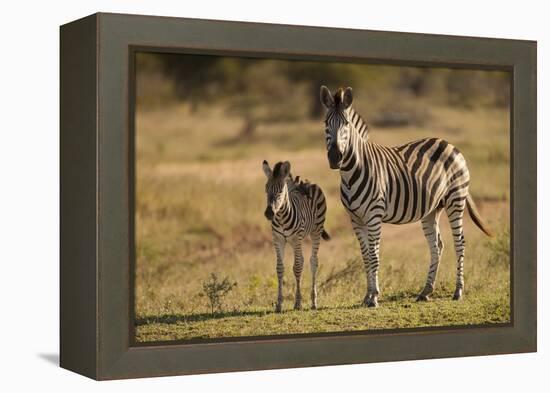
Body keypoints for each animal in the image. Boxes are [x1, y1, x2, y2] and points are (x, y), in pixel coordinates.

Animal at [264, 160, 332, 312]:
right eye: (266, 189)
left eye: (281, 191)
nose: (269, 213)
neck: (281, 218)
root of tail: (306, 182)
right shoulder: (277, 240)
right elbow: (280, 268)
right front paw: (279, 305)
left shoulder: (296, 239)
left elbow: (297, 267)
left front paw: (298, 303)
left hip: (316, 231)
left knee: (313, 262)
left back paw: (313, 302)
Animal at [322, 85, 494, 306]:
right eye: (326, 124)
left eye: (346, 124)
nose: (335, 158)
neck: (351, 173)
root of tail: (449, 144)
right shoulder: (355, 219)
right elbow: (365, 256)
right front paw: (367, 296)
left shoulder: (374, 215)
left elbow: (374, 255)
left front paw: (374, 297)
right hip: (432, 209)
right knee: (437, 246)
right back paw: (425, 291)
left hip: (456, 200)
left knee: (460, 243)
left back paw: (458, 291)